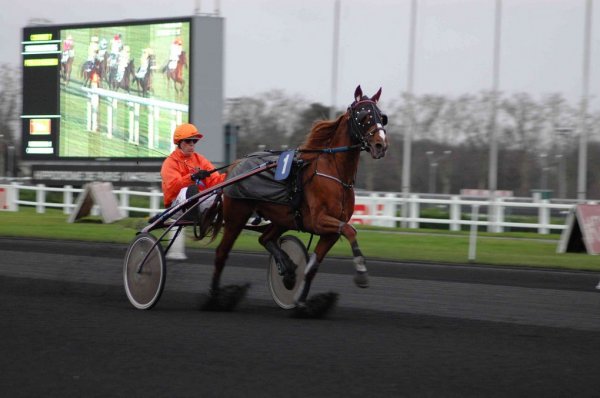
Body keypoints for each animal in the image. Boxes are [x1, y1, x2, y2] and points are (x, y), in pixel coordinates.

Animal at [204, 86, 390, 318]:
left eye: (382, 117)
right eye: (364, 116)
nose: (380, 145)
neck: (334, 173)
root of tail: (236, 164)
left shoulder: (330, 231)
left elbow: (312, 268)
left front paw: (301, 303)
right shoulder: (320, 221)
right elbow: (350, 230)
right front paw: (362, 273)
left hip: (282, 218)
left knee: (265, 238)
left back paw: (288, 268)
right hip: (236, 217)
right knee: (222, 253)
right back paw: (214, 298)